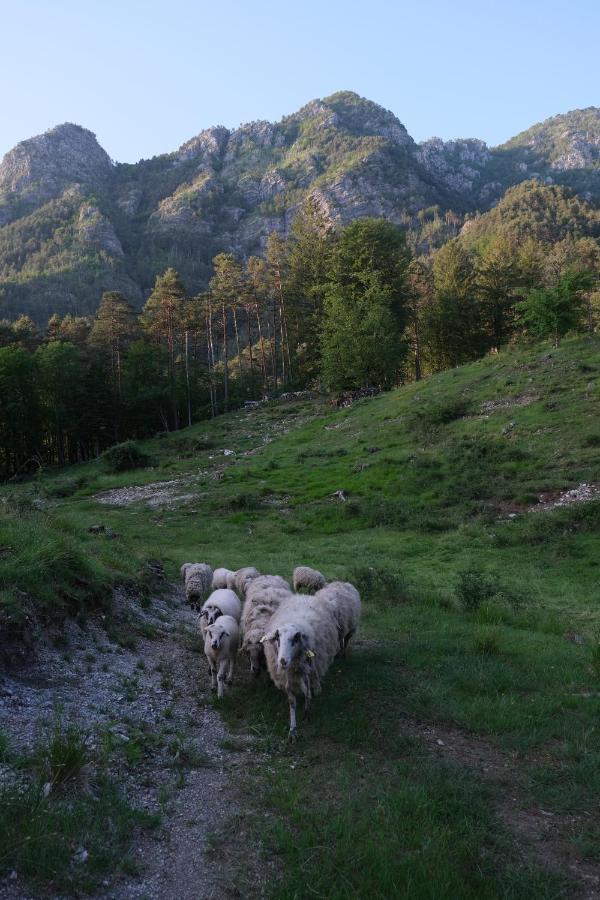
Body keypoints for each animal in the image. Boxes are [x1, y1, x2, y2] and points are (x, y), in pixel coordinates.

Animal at [264, 592, 342, 740]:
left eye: (295, 638)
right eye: (277, 638)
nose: (282, 661)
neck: (293, 666)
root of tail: (303, 595)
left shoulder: (306, 670)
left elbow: (307, 693)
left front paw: (307, 711)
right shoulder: (286, 677)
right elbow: (292, 702)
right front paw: (292, 729)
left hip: (316, 662)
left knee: (315, 676)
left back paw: (317, 688)